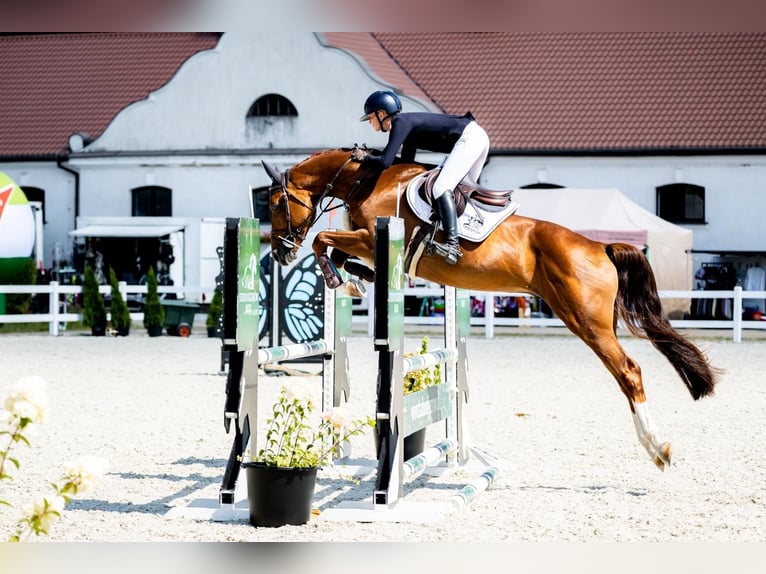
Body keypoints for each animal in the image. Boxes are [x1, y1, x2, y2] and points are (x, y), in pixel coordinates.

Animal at [262, 147, 718, 471]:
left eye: (274, 203)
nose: (281, 253)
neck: (366, 180)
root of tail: (599, 245)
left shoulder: (370, 236)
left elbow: (324, 241)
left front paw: (344, 278)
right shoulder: (368, 242)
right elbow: (336, 250)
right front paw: (357, 278)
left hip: (586, 322)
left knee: (628, 371)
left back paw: (657, 447)